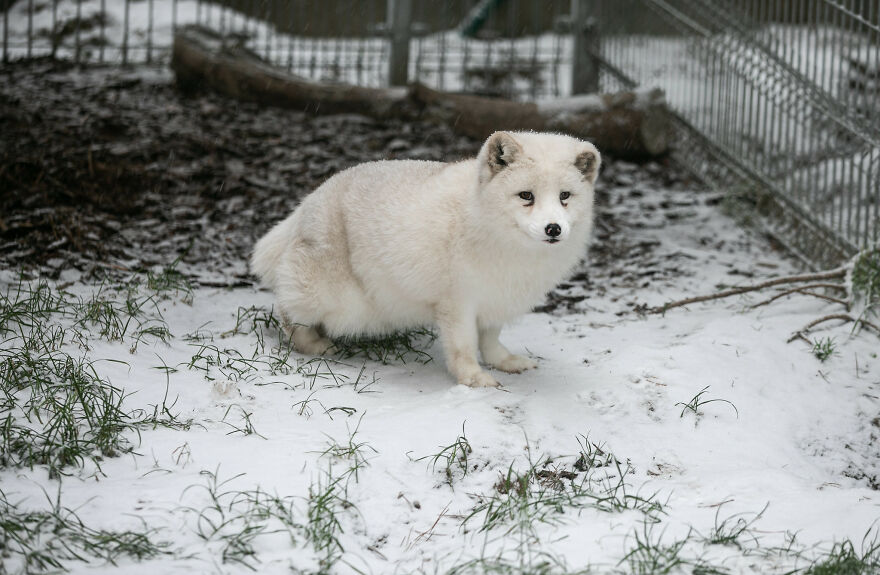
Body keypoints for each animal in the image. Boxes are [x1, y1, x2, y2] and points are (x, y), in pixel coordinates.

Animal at [250, 131, 600, 388]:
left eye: (565, 196)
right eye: (526, 195)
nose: (553, 228)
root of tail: (311, 198)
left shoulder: (496, 294)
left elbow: (490, 338)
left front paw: (503, 361)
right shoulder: (457, 302)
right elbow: (463, 346)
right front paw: (473, 379)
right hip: (334, 298)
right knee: (287, 310)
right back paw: (313, 344)